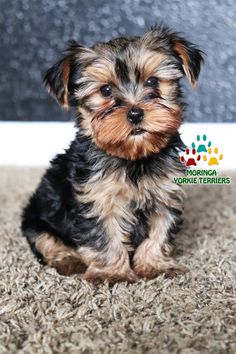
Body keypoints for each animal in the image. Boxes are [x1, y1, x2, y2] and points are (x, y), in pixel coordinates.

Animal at [21, 24, 204, 284]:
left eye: (153, 81)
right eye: (105, 90)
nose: (135, 113)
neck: (134, 157)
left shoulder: (165, 193)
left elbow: (160, 231)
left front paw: (156, 266)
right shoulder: (97, 198)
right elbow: (105, 237)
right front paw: (112, 274)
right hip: (37, 216)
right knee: (45, 240)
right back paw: (69, 260)